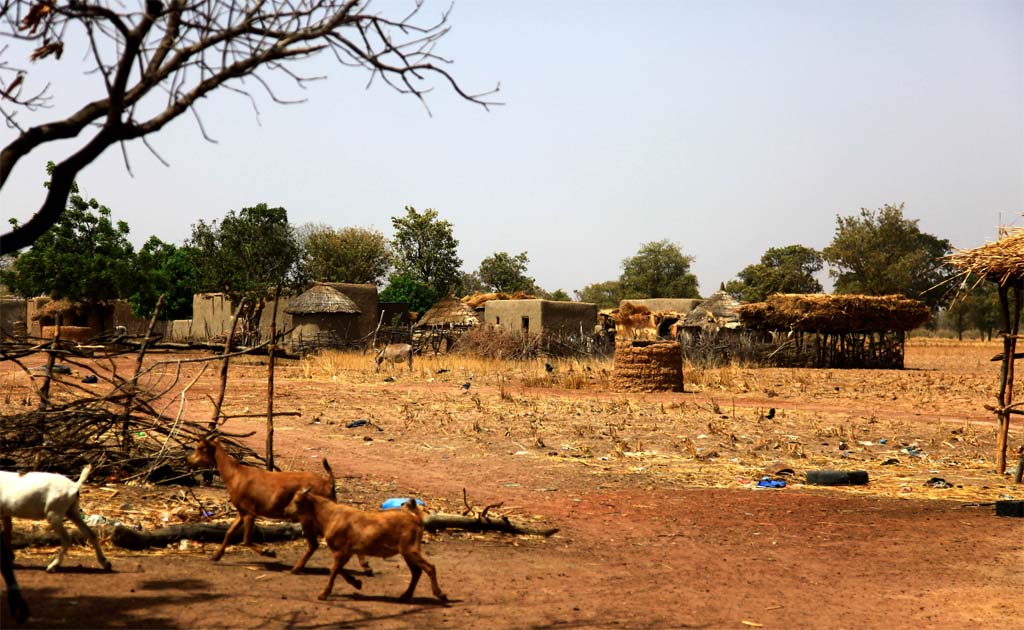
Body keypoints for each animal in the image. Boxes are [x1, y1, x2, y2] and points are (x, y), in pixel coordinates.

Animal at [188, 436, 372, 573]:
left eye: (200, 448)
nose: (188, 460)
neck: (234, 475)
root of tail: (328, 483)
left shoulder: (250, 512)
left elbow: (246, 540)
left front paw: (268, 552)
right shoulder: (242, 512)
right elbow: (229, 532)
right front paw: (216, 556)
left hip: (308, 516)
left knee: (315, 543)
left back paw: (297, 568)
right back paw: (365, 567)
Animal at [288, 487, 448, 602]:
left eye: (297, 501)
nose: (286, 511)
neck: (330, 516)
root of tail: (416, 519)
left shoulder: (339, 551)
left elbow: (333, 570)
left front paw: (323, 594)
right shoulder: (347, 552)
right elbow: (338, 569)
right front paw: (357, 583)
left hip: (410, 549)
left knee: (429, 567)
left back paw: (441, 595)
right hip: (407, 551)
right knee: (416, 572)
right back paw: (405, 596)